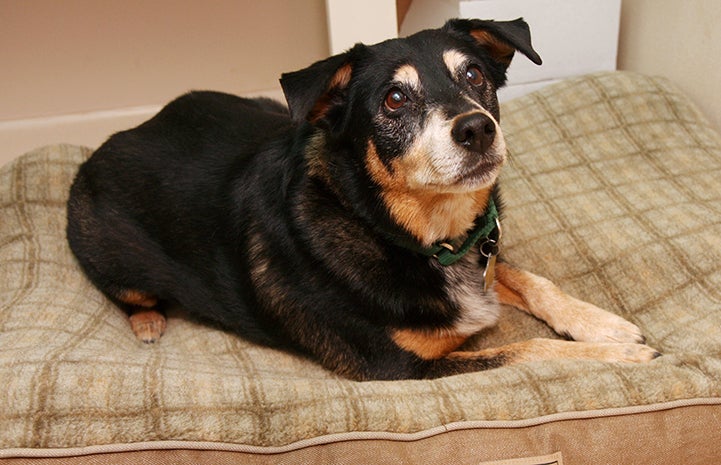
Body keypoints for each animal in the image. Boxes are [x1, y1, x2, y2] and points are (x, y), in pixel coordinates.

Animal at [67, 19, 660, 380]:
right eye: (394, 99)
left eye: (474, 74)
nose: (477, 129)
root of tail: (120, 137)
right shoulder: (400, 367)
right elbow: (526, 352)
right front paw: (621, 354)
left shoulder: (484, 256)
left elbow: (532, 280)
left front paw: (604, 325)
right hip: (110, 255)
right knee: (128, 293)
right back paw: (148, 322)